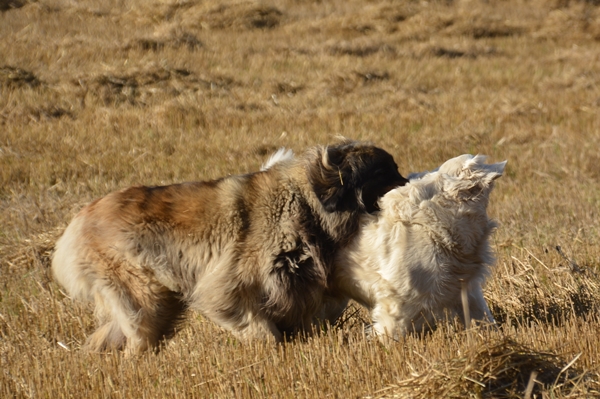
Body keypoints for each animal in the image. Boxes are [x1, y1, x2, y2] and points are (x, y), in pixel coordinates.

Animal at [52, 141, 408, 354]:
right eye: (386, 171)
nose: (411, 182)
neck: (308, 201)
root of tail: (79, 220)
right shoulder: (228, 288)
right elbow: (260, 328)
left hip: (157, 302)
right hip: (143, 294)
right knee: (138, 334)